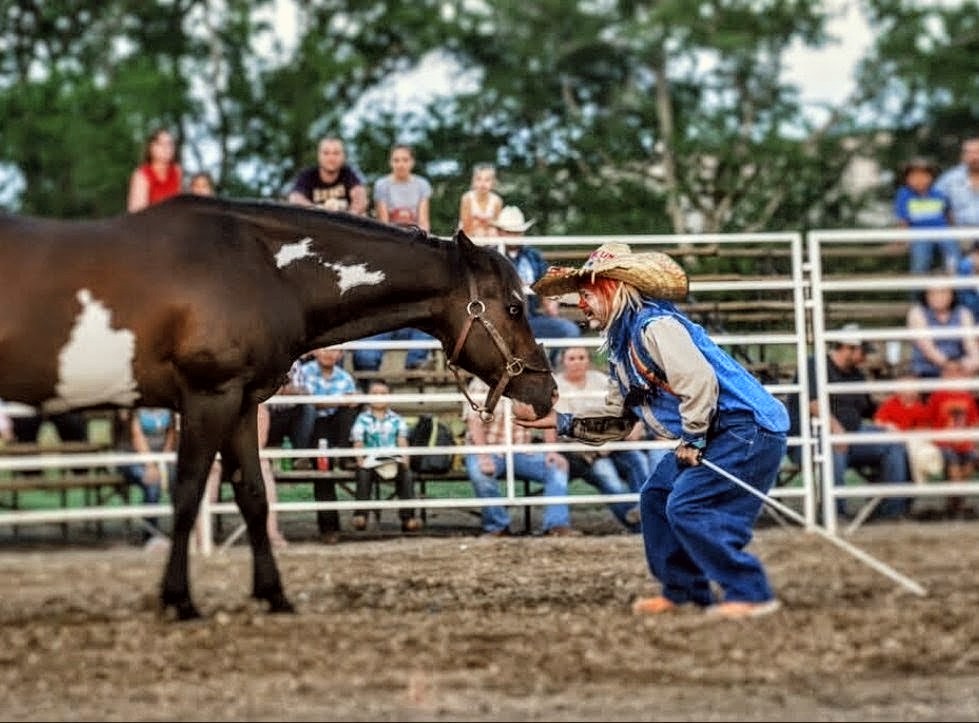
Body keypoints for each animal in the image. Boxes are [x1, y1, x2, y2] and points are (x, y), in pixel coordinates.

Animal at [0, 194, 557, 620]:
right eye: (513, 306)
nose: (545, 392)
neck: (260, 267)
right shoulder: (209, 397)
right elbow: (188, 494)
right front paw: (179, 601)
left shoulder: (242, 404)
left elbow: (253, 496)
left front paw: (273, 595)